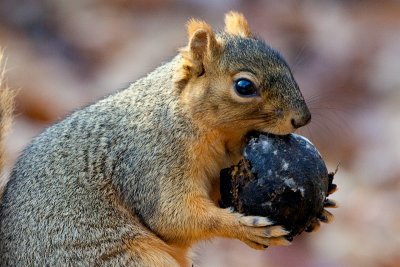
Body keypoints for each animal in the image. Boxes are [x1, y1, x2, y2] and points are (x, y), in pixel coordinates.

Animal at [0, 12, 312, 267]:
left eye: (283, 61)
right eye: (244, 86)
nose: (303, 118)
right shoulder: (152, 162)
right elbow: (173, 216)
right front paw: (247, 228)